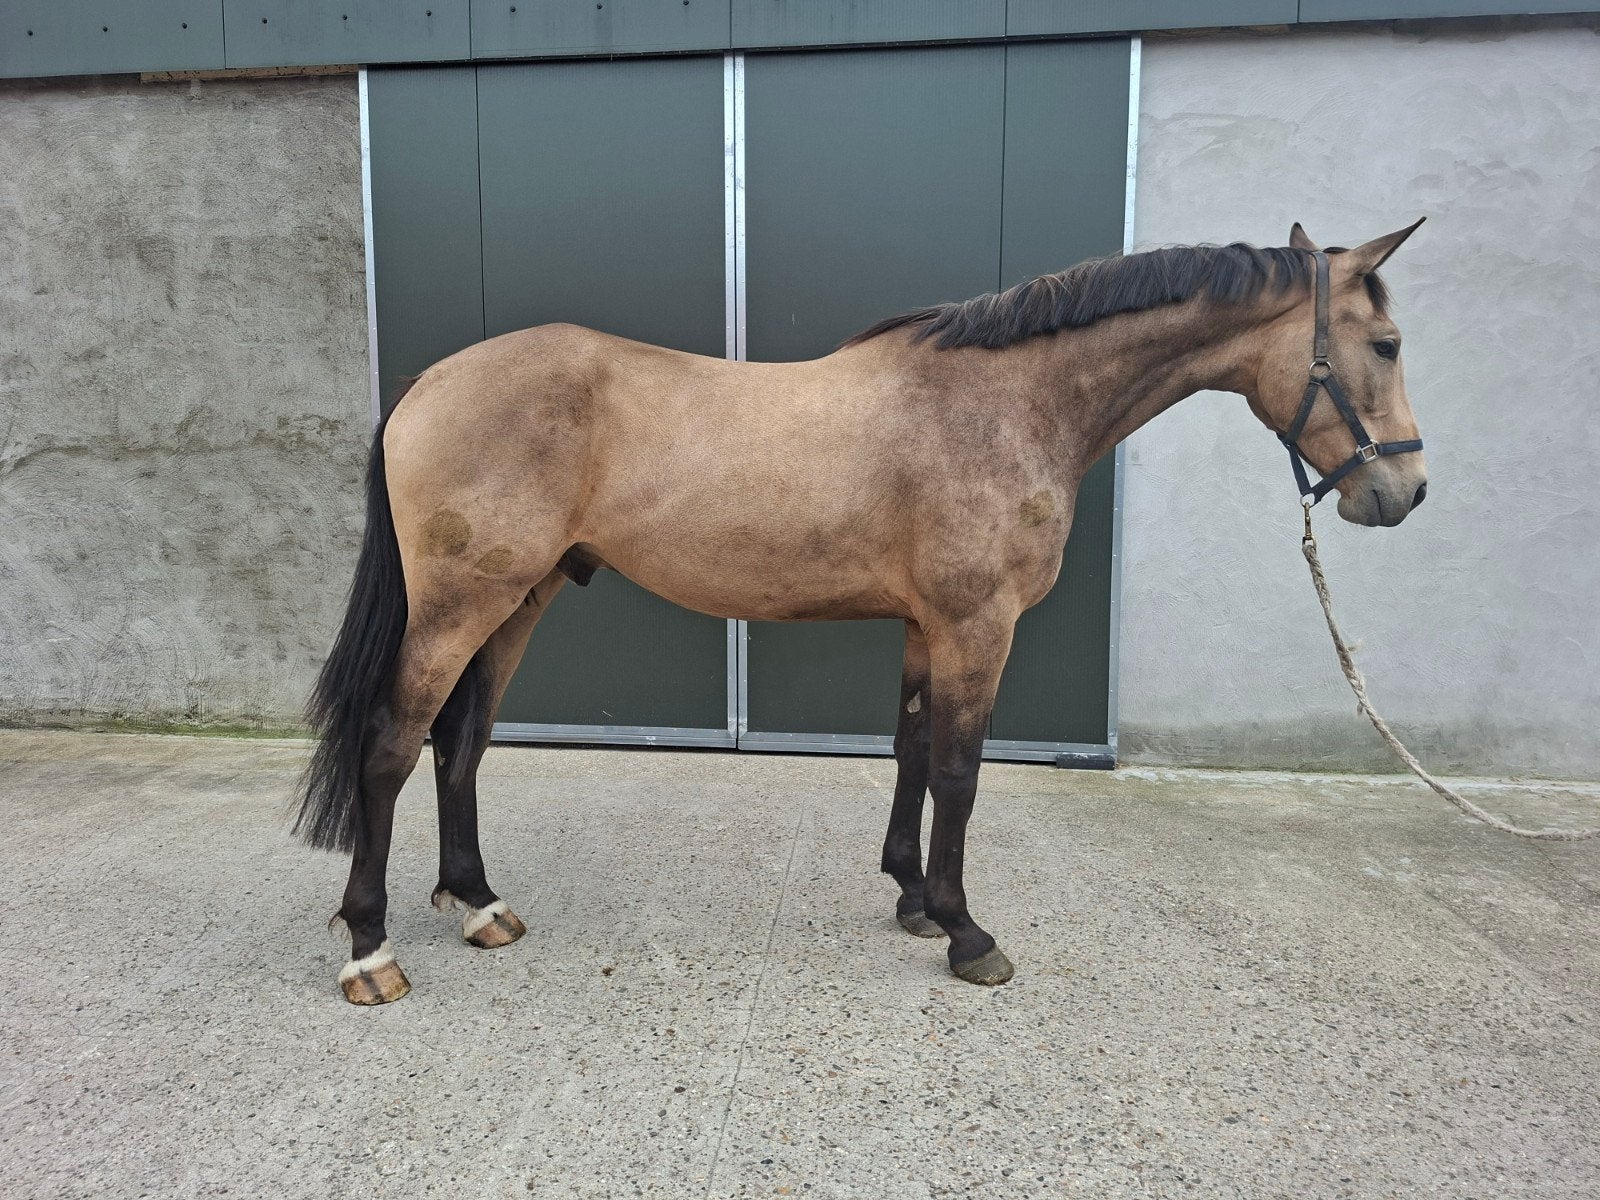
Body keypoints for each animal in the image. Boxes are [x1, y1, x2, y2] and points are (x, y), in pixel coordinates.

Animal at [296, 220, 1429, 1004]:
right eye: (1384, 341)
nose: (1405, 494)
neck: (1008, 401)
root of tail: (429, 382)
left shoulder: (929, 627)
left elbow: (913, 751)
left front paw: (914, 901)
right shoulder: (978, 626)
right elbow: (962, 774)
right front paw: (970, 936)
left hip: (517, 601)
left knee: (462, 742)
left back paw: (480, 904)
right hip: (463, 604)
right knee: (393, 743)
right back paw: (371, 951)